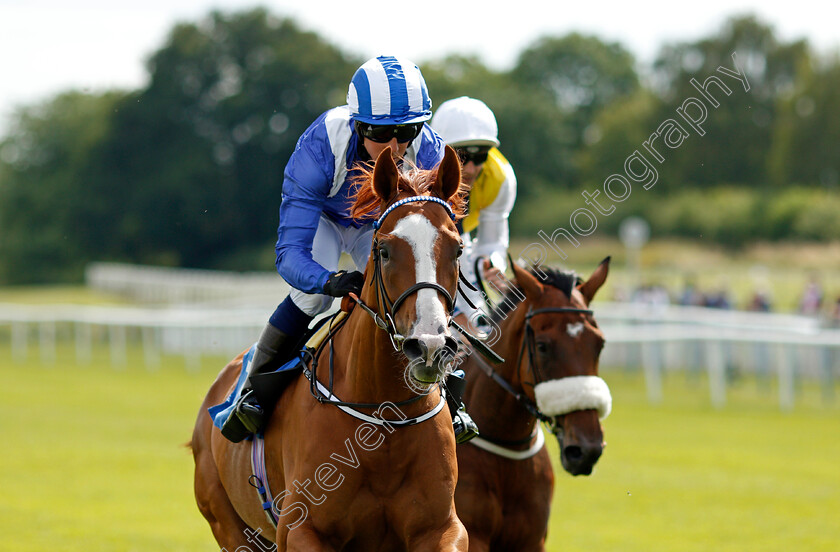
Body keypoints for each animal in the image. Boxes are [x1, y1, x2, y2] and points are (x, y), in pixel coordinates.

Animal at [192, 147, 472, 552]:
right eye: (384, 250)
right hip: (227, 523)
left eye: (457, 249)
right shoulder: (301, 529)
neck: (383, 420)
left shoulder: (441, 528)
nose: (429, 346)